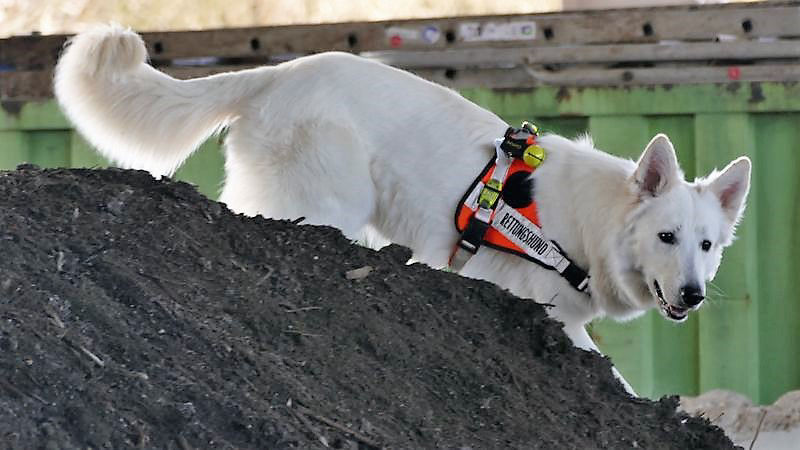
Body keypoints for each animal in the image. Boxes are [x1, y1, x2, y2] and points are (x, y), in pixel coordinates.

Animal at [54, 26, 752, 396]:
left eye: (707, 246)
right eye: (666, 237)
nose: (693, 295)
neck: (588, 223)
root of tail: (277, 72)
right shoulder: (520, 297)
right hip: (330, 204)